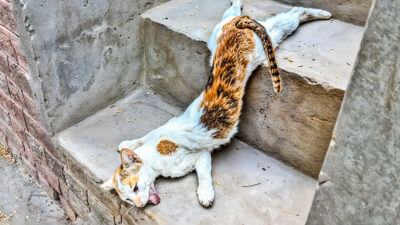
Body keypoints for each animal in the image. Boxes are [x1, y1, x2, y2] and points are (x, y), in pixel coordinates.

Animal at [101, 0, 332, 207]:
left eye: (136, 188)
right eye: (127, 199)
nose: (139, 205)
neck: (155, 155)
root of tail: (239, 23)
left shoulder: (200, 155)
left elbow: (203, 175)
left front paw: (205, 194)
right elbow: (142, 137)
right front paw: (129, 143)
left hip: (255, 39)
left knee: (293, 13)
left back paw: (322, 13)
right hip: (244, 37)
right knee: (268, 17)